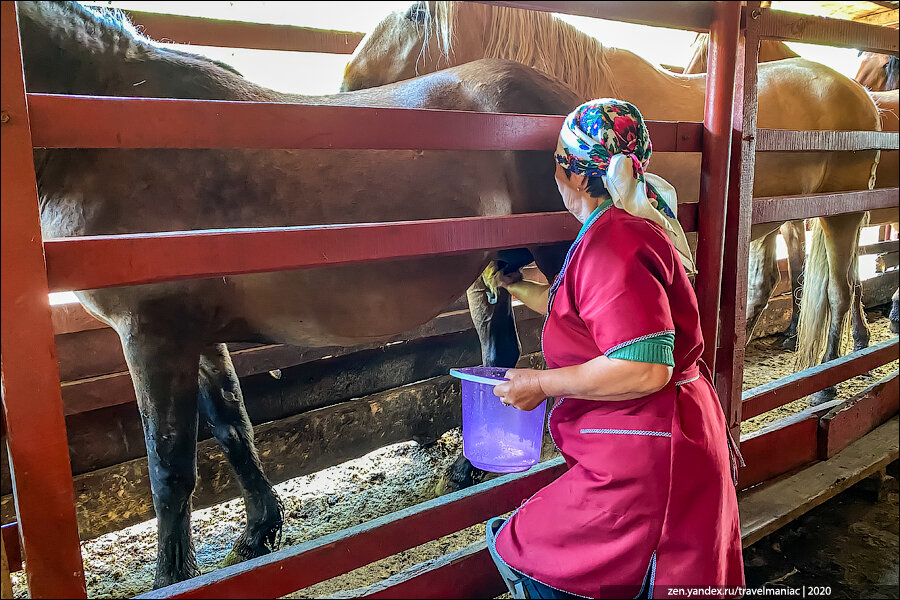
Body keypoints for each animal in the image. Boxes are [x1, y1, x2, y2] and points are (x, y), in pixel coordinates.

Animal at [19, 2, 584, 588]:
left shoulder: (152, 334)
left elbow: (168, 467)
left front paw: (171, 577)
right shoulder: (196, 337)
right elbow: (233, 429)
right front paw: (257, 533)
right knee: (498, 359)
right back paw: (466, 469)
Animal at [342, 2, 880, 400]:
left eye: (416, 13)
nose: (348, 80)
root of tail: (862, 97)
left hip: (843, 214)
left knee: (838, 288)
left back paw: (825, 384)